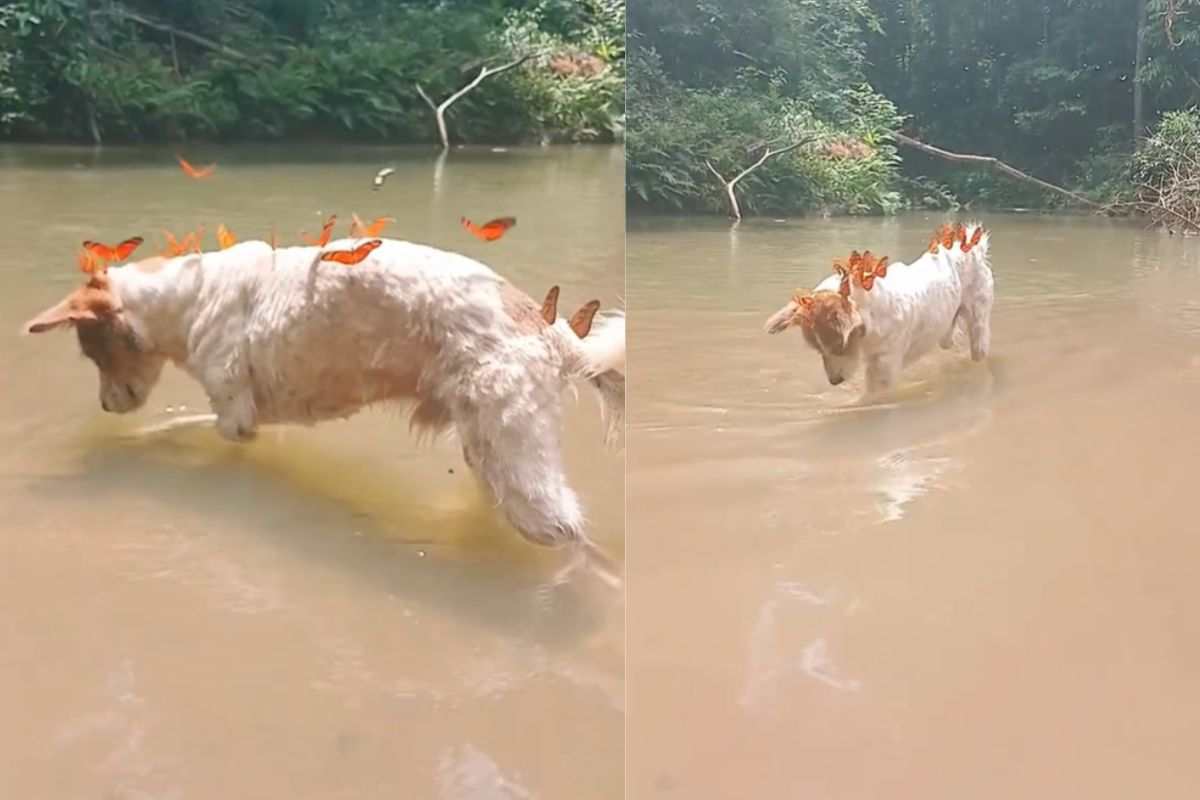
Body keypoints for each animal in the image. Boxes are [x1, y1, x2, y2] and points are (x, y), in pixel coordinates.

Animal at [768, 221, 993, 393]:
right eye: (818, 350)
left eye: (839, 346)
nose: (834, 382)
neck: (873, 315)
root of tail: (972, 248)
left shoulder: (883, 371)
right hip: (946, 328)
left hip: (978, 327)